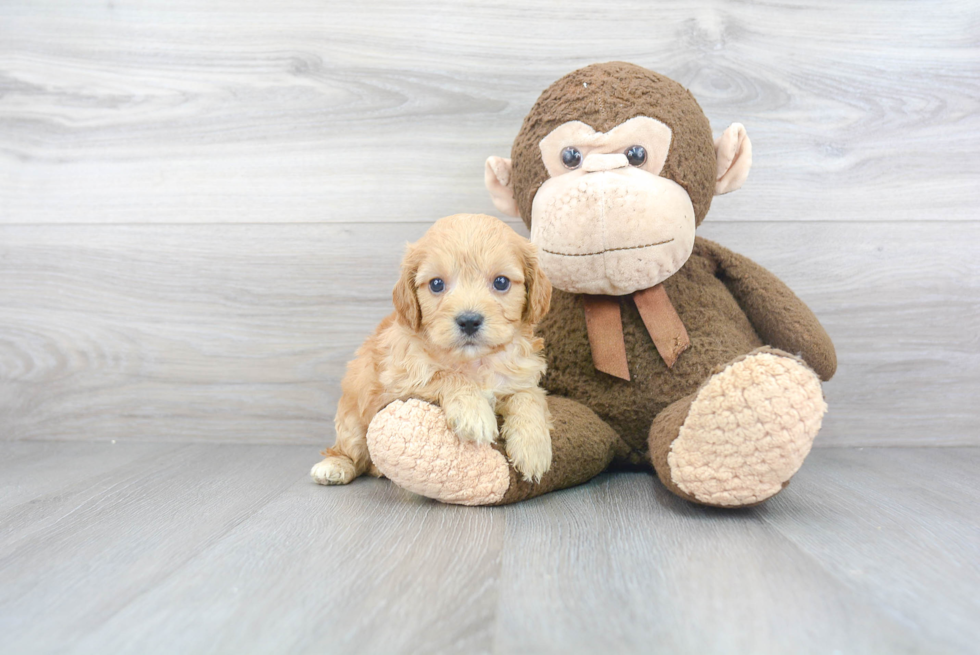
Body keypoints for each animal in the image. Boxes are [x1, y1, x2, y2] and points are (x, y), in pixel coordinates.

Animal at [310, 215, 556, 486]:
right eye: (437, 284)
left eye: (501, 282)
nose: (469, 321)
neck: (474, 362)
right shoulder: (398, 381)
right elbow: (445, 375)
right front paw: (474, 412)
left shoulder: (521, 378)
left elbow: (529, 396)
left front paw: (533, 449)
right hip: (352, 418)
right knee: (351, 452)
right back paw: (335, 466)